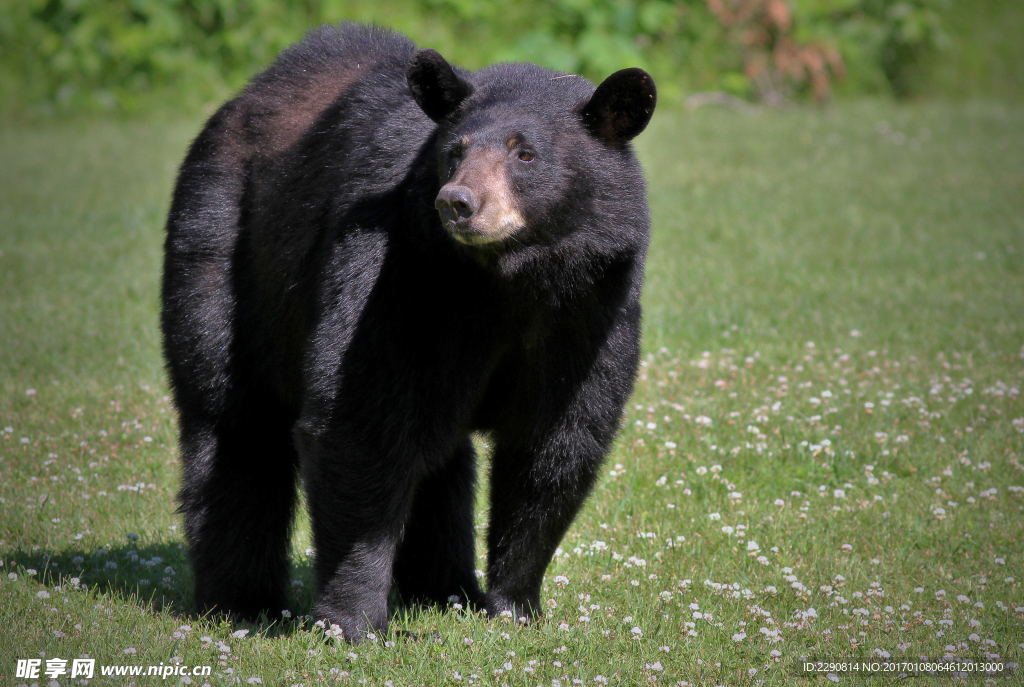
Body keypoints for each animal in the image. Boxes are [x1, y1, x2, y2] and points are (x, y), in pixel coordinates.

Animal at [161, 23, 655, 639]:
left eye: (525, 153)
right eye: (454, 152)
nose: (458, 202)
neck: (507, 283)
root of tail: (243, 98)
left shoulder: (589, 309)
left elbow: (555, 444)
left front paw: (515, 606)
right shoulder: (396, 273)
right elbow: (361, 422)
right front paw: (353, 621)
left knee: (439, 456)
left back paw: (446, 590)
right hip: (225, 243)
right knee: (234, 421)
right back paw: (241, 601)